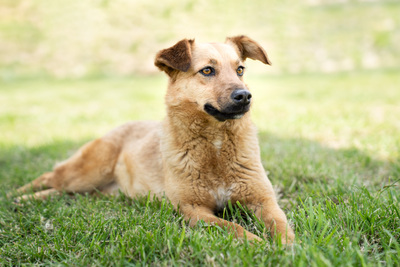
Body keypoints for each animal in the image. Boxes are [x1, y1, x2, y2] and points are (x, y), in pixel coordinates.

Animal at [9, 35, 296, 245]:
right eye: (207, 70)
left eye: (240, 70)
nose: (245, 96)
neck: (215, 144)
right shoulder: (193, 209)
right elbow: (232, 227)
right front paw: (258, 244)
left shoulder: (264, 201)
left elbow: (281, 225)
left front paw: (287, 248)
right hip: (86, 173)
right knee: (49, 176)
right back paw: (17, 196)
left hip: (91, 189)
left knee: (60, 191)